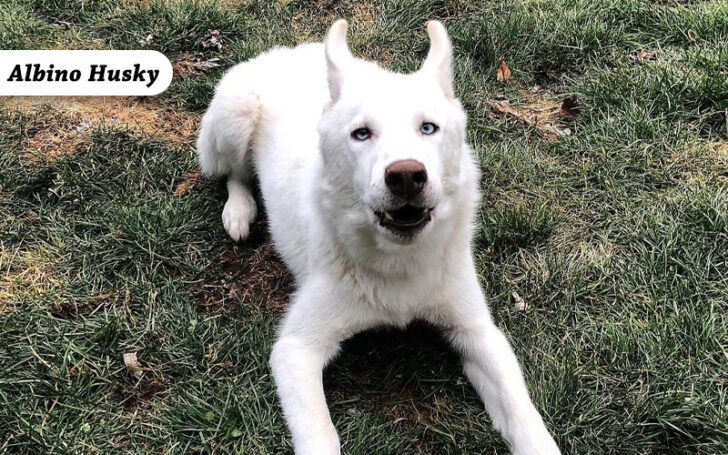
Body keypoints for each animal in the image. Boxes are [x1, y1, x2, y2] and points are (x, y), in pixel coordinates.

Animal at [196, 19, 560, 454]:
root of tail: (287, 51)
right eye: (362, 134)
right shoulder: (296, 350)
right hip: (233, 117)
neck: (398, 264)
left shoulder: (477, 332)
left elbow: (525, 418)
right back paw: (239, 210)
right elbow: (320, 435)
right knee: (235, 174)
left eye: (428, 128)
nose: (406, 176)